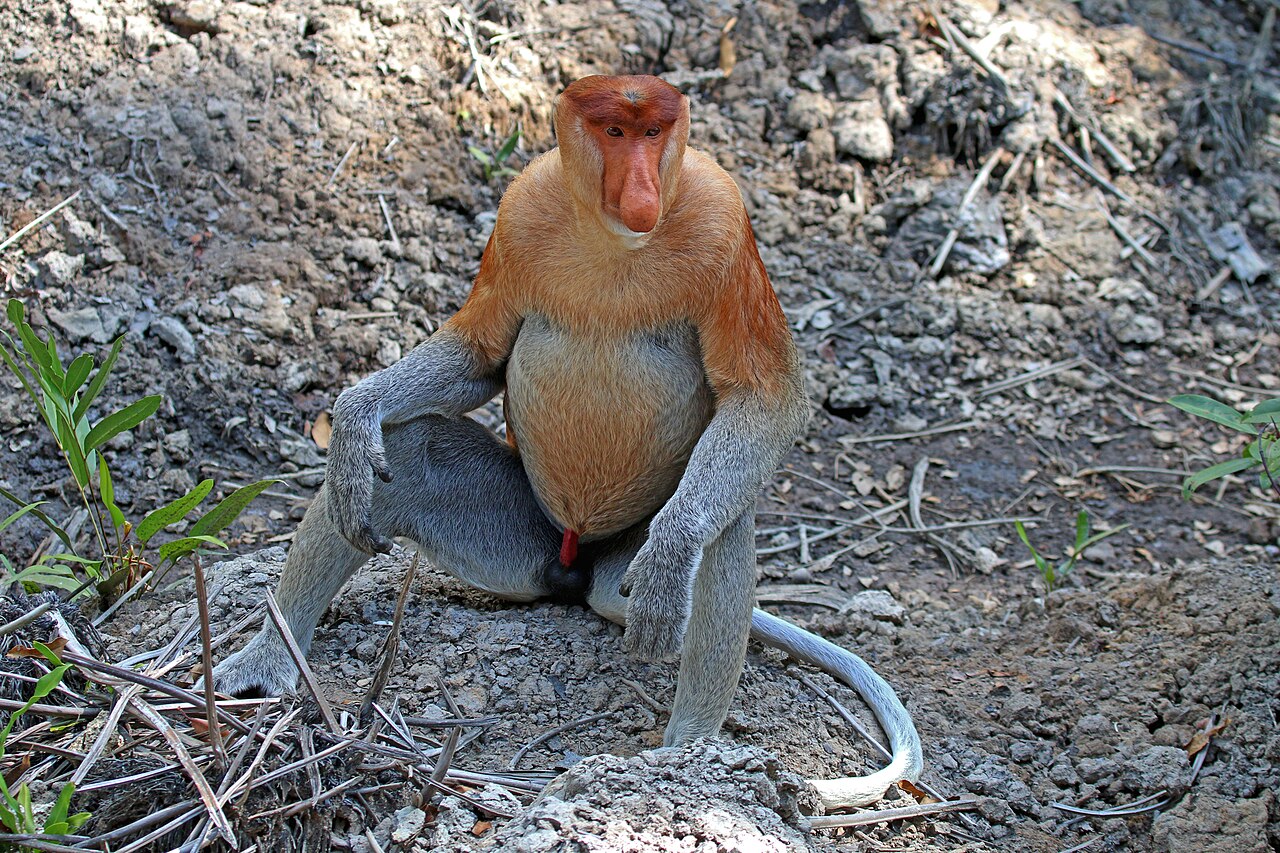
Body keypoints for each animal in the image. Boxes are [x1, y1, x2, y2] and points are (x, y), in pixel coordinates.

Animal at [210, 75, 922, 808]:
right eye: (614, 132)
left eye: (653, 133)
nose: (642, 191)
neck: (614, 241)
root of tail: (575, 569)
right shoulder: (519, 210)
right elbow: (478, 354)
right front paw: (354, 418)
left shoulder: (725, 222)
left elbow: (763, 398)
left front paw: (675, 549)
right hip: (513, 537)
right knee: (407, 457)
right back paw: (268, 657)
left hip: (622, 548)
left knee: (721, 524)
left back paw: (687, 753)